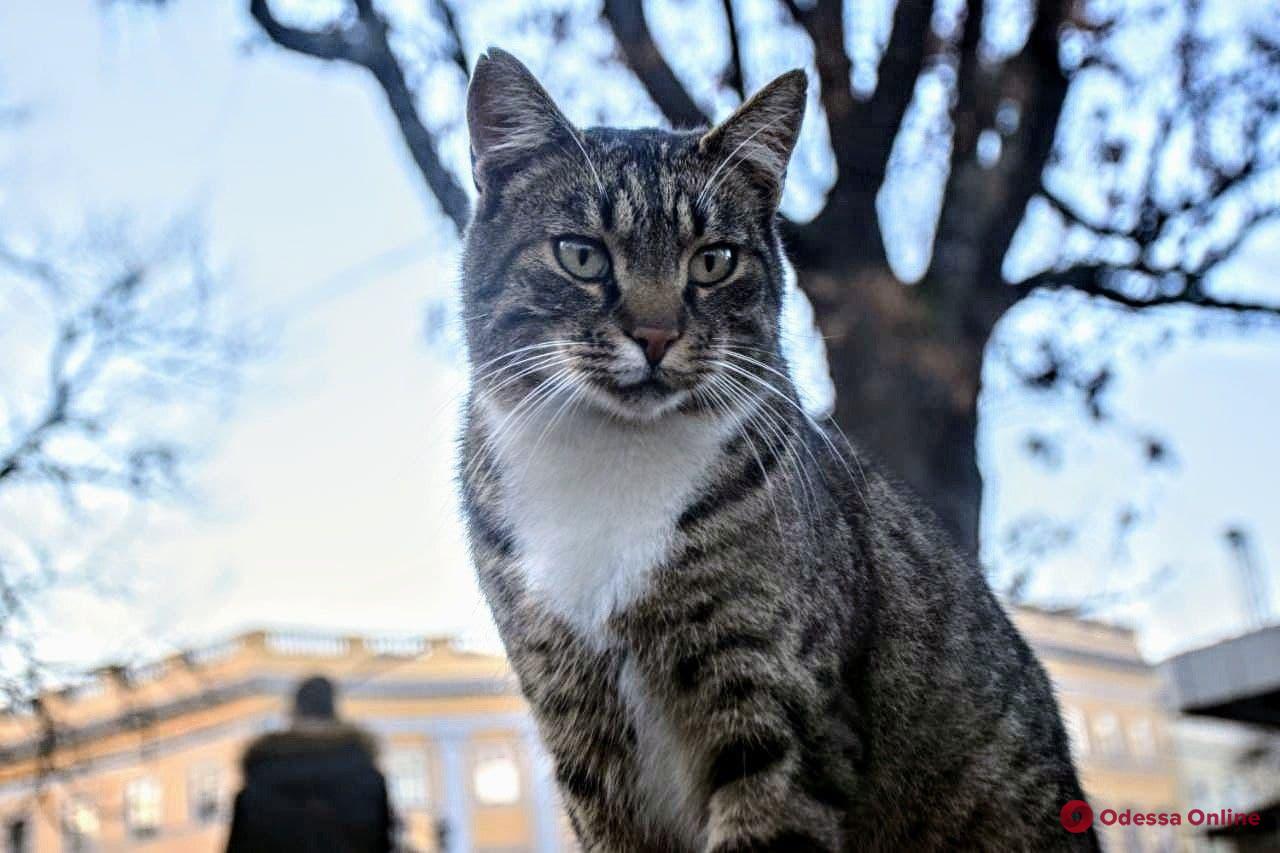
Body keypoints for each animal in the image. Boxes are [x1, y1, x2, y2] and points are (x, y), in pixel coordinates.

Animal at [455, 48, 1095, 850]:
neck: (612, 465)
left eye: (713, 261)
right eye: (581, 254)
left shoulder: (776, 704)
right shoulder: (576, 721)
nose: (656, 335)